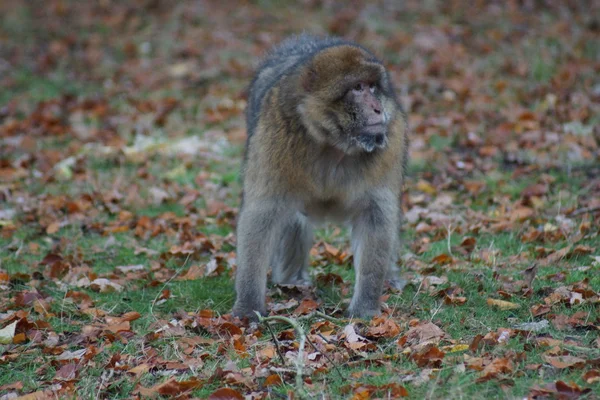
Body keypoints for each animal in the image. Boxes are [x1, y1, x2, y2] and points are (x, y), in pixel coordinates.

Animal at [233, 35, 408, 322]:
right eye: (357, 87)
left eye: (373, 87)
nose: (377, 108)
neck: (334, 143)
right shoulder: (274, 135)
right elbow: (262, 214)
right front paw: (248, 306)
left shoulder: (390, 141)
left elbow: (377, 216)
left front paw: (366, 307)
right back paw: (291, 280)